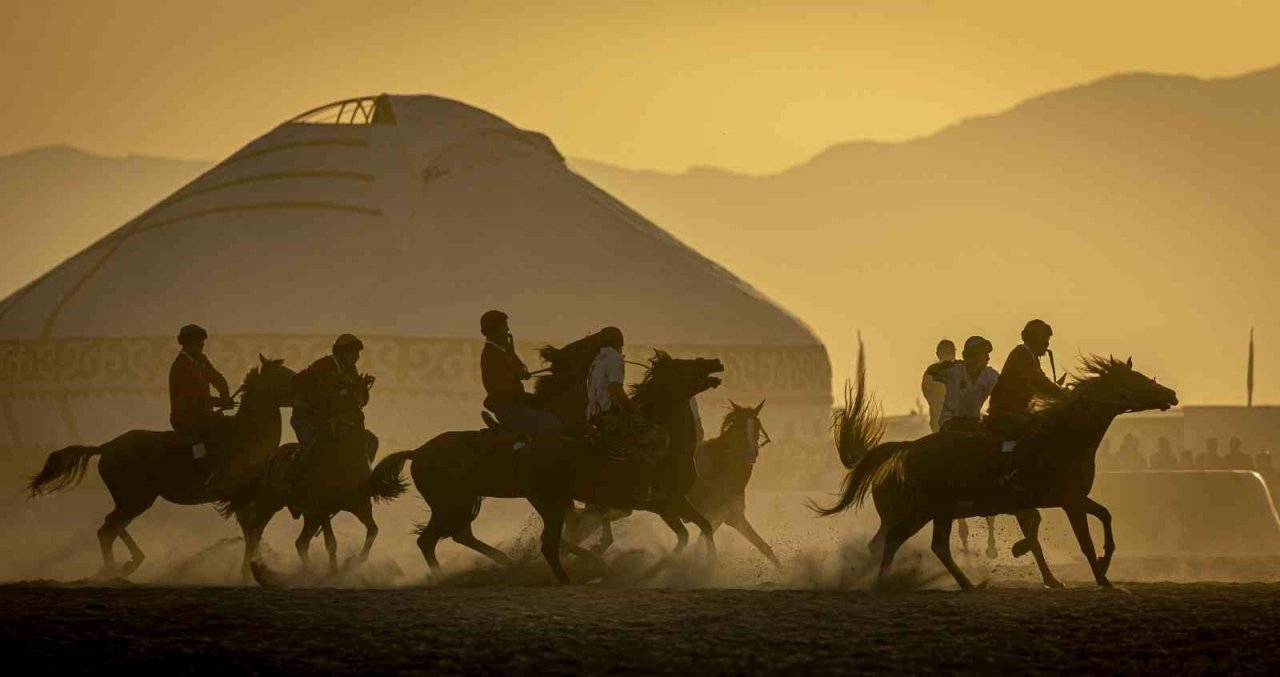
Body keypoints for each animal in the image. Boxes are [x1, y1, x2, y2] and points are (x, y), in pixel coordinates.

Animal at [26, 353, 293, 575]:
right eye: (285, 375)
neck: (247, 434)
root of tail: (106, 447)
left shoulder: (248, 497)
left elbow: (254, 531)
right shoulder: (240, 495)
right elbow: (252, 532)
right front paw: (249, 571)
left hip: (133, 500)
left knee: (111, 525)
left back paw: (129, 563)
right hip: (136, 499)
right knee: (107, 529)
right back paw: (116, 571)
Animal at [371, 348, 732, 581]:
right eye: (687, 365)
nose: (716, 361)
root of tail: (418, 451)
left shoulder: (666, 503)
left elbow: (698, 528)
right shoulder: (661, 502)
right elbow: (690, 532)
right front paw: (692, 565)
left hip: (470, 502)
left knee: (461, 535)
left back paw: (511, 563)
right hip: (458, 502)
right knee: (433, 540)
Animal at [819, 353, 1177, 586]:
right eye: (1135, 379)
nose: (1171, 394)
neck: (1065, 435)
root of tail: (908, 448)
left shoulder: (1073, 498)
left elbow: (1105, 517)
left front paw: (1100, 564)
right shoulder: (1069, 503)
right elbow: (1084, 541)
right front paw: (1102, 578)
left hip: (935, 512)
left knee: (914, 544)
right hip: (927, 510)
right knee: (901, 542)